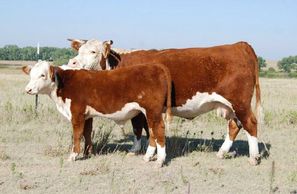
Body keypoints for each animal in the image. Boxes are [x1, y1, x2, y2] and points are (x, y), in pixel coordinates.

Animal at [22, 60, 171, 167]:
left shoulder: (76, 114)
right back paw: (147, 157)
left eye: (42, 75)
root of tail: (155, 66)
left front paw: (73, 156)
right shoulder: (86, 116)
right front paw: (88, 153)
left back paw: (160, 160)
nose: (28, 89)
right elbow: (87, 133)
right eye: (31, 75)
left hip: (153, 111)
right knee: (151, 131)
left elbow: (77, 135)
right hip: (148, 113)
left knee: (159, 129)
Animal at [67, 39, 262, 165]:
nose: (73, 63)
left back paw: (253, 157)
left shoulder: (138, 106)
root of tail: (240, 45)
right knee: (235, 125)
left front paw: (137, 150)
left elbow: (139, 128)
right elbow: (146, 129)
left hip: (240, 102)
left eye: (93, 52)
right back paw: (222, 152)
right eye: (79, 51)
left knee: (250, 123)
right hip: (231, 106)